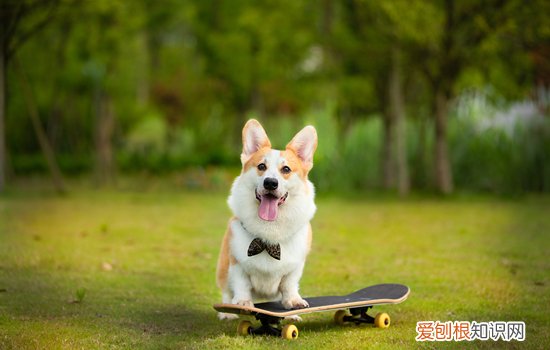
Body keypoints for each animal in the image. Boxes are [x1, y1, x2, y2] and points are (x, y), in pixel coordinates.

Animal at [217, 119, 320, 320]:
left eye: (286, 169)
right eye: (261, 167)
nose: (271, 183)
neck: (270, 230)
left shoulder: (295, 267)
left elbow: (289, 285)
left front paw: (293, 304)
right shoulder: (237, 262)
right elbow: (241, 284)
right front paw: (242, 304)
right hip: (223, 267)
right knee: (226, 291)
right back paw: (227, 312)